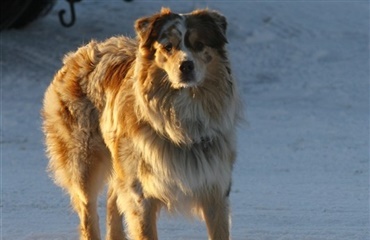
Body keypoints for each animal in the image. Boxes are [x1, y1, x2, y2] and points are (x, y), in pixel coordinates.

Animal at [42, 7, 241, 240]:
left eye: (199, 44)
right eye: (167, 46)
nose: (186, 66)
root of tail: (78, 54)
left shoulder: (215, 188)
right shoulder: (141, 194)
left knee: (113, 198)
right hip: (84, 160)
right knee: (88, 210)